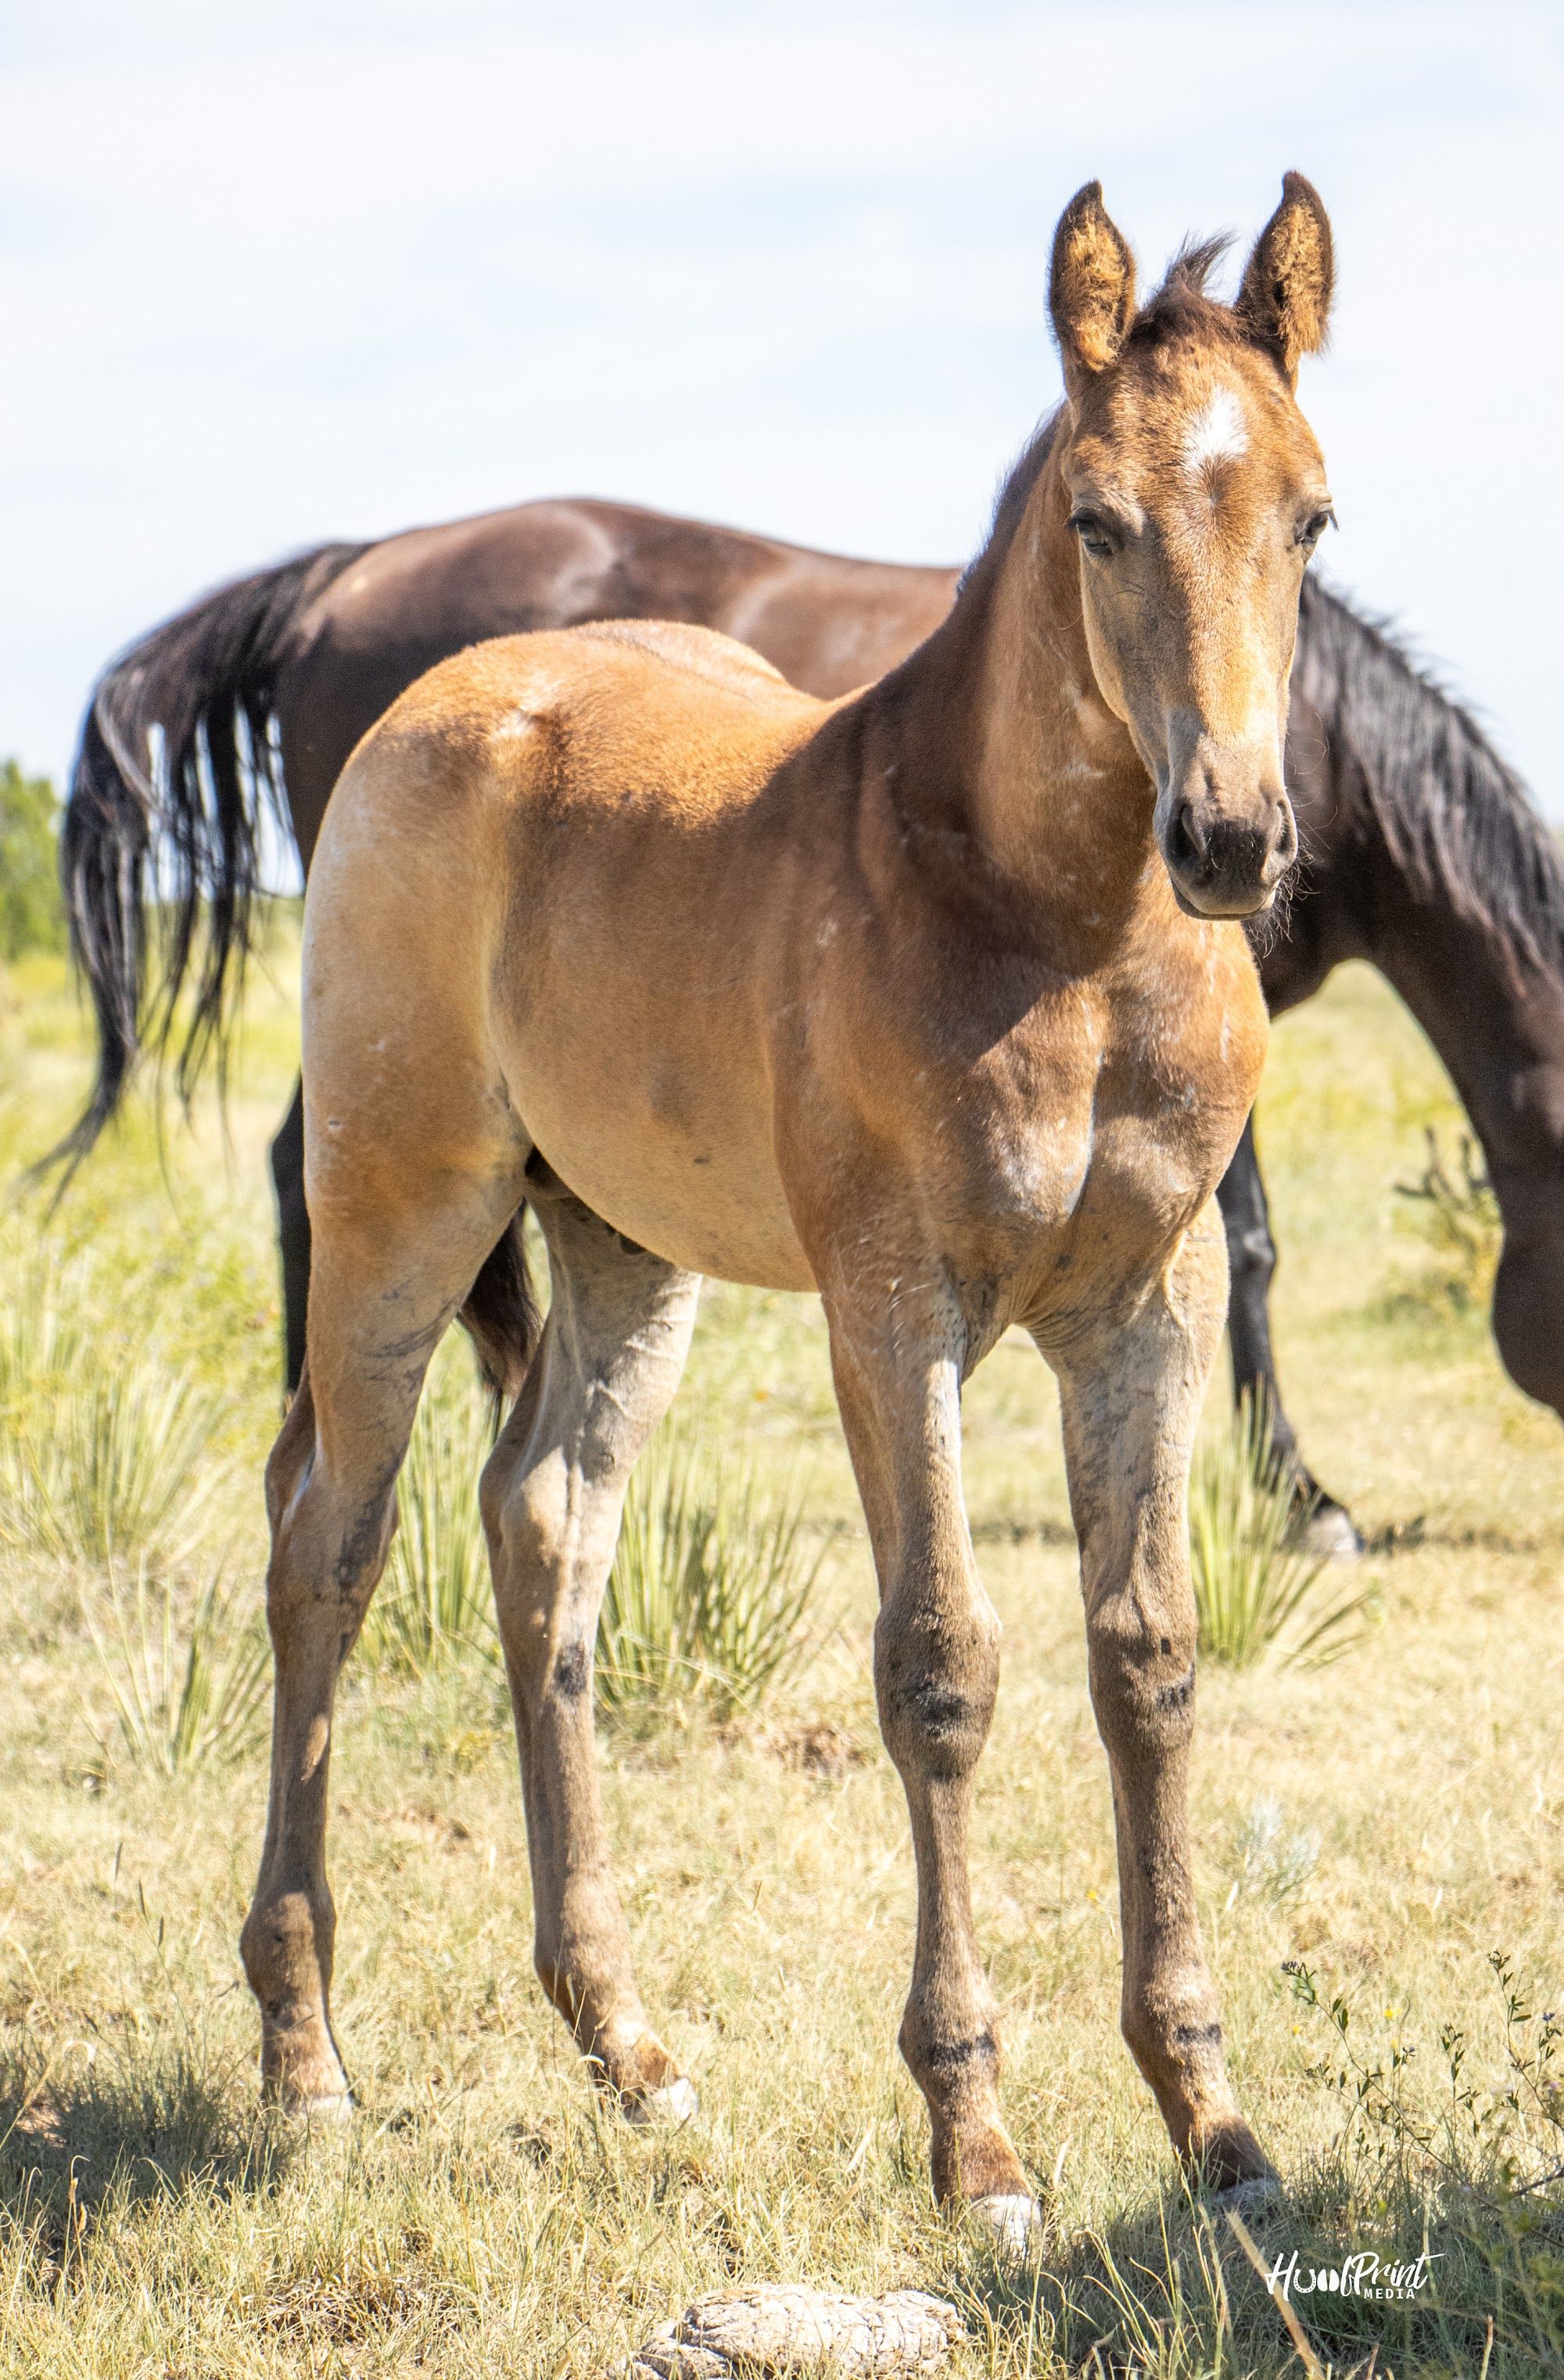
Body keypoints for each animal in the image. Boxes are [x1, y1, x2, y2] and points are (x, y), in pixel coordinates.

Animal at [235, 178, 1335, 2237]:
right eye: (1095, 517)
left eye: (1312, 517)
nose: (1231, 837)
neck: (1052, 922)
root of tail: (446, 695)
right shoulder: (892, 1305)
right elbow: (942, 1666)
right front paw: (976, 2141)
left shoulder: (1138, 1306)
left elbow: (1146, 1658)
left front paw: (1213, 2125)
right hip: (399, 1204)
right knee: (327, 1542)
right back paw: (306, 2061)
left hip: (619, 1249)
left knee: (544, 1529)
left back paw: (626, 2044)